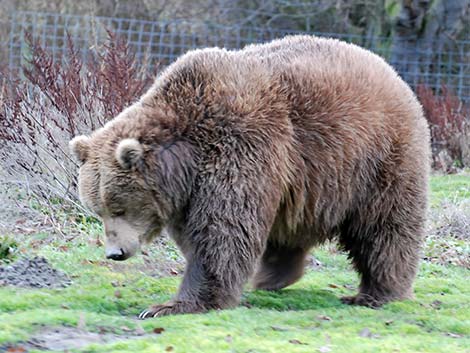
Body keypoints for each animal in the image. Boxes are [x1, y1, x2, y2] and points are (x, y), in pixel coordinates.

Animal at [69, 35, 430, 320]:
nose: (115, 252)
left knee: (383, 228)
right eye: (98, 209)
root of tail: (391, 72)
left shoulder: (238, 146)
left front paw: (171, 305)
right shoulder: (191, 191)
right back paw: (272, 277)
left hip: (376, 159)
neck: (185, 157)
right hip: (307, 180)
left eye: (118, 207)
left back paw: (376, 292)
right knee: (289, 229)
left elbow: (222, 232)